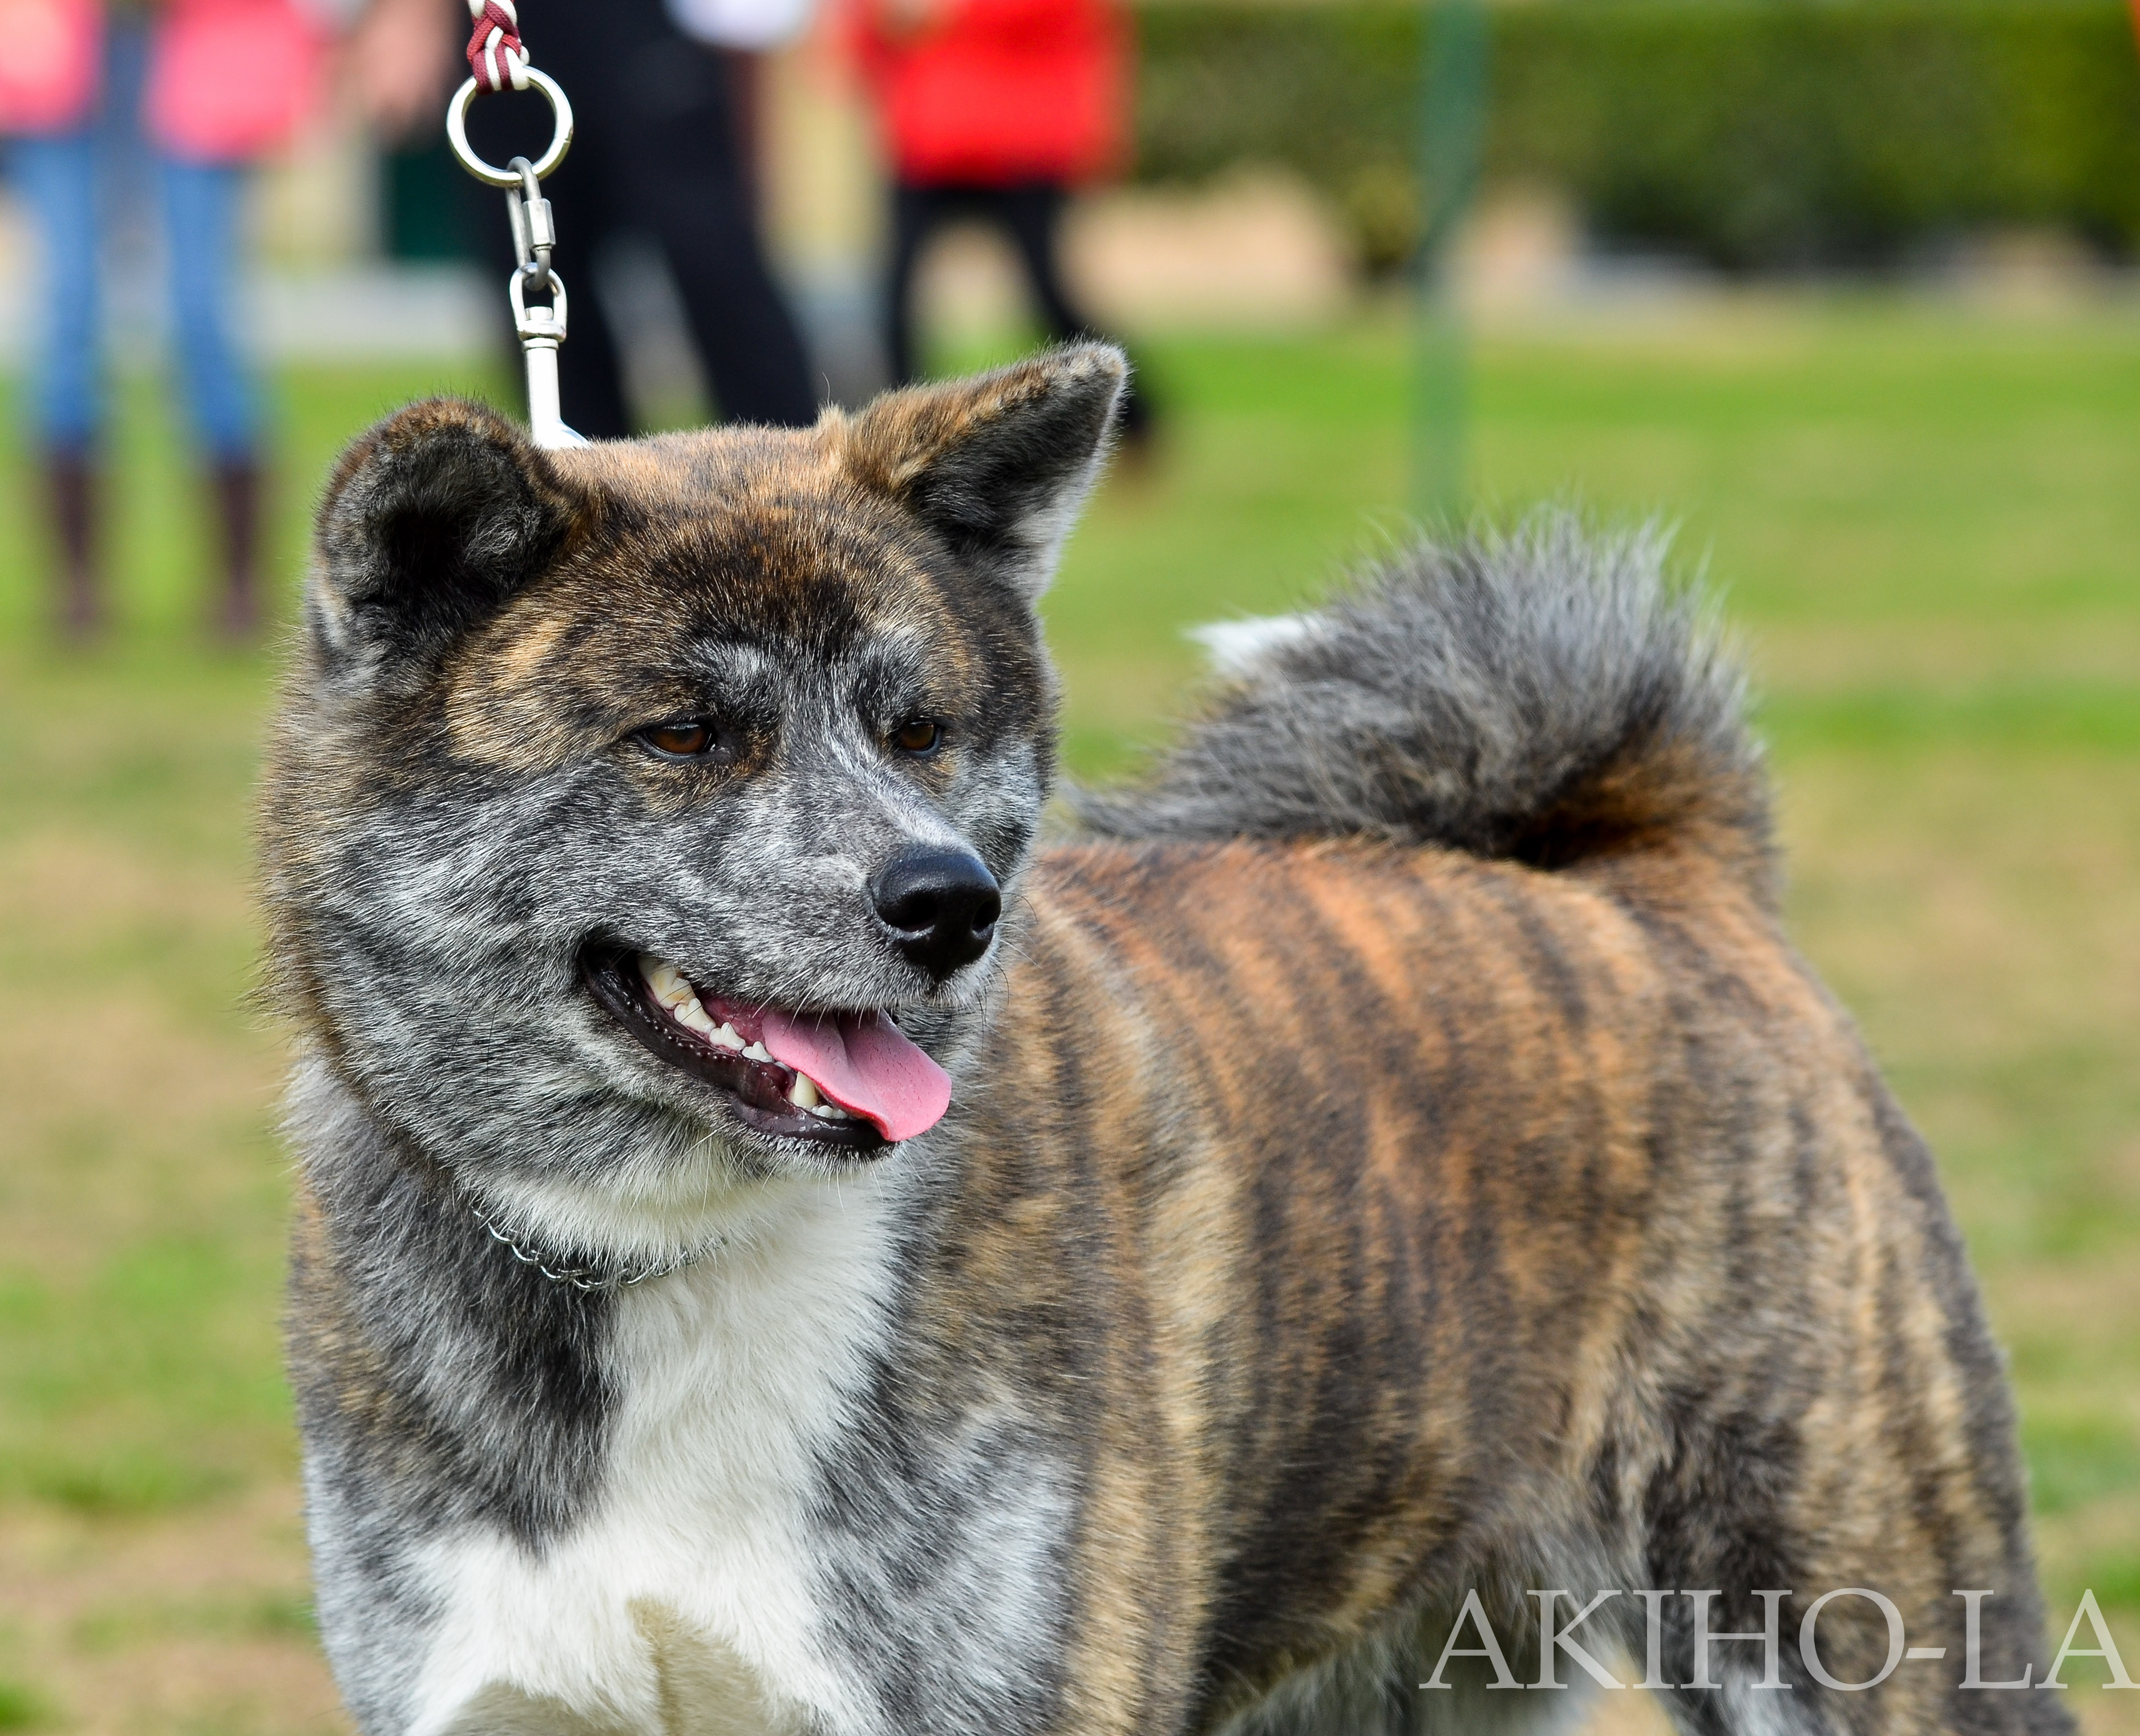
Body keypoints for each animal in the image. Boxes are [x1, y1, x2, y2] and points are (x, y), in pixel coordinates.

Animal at [264, 345, 2070, 1736]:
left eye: (918, 728)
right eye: (685, 734)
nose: (950, 900)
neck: (667, 1255)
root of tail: (1654, 880)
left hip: (1857, 1620)